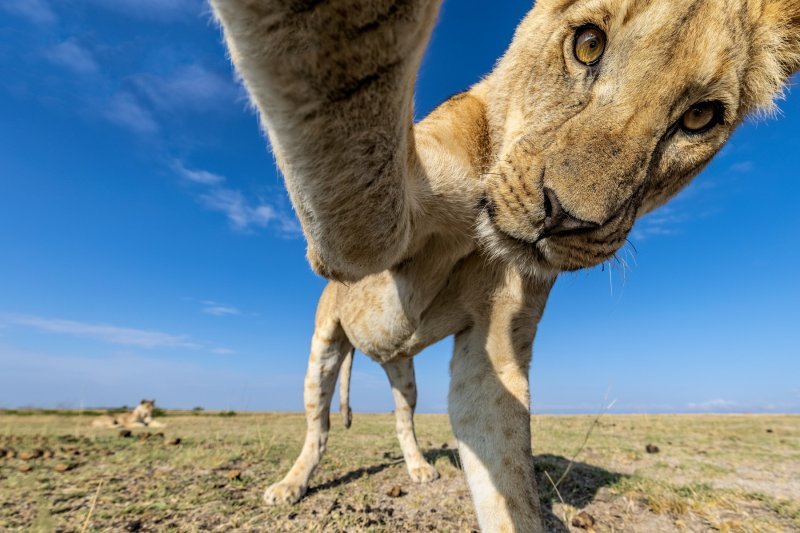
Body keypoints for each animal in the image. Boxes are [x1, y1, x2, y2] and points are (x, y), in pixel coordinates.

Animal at [212, 1, 800, 528]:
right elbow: (351, 110)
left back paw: (420, 468)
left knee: (402, 416)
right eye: (588, 44)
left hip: (403, 372)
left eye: (700, 117)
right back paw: (290, 485)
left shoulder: (491, 350)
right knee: (319, 424)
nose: (563, 216)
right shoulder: (351, 234)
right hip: (325, 347)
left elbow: (511, 482)